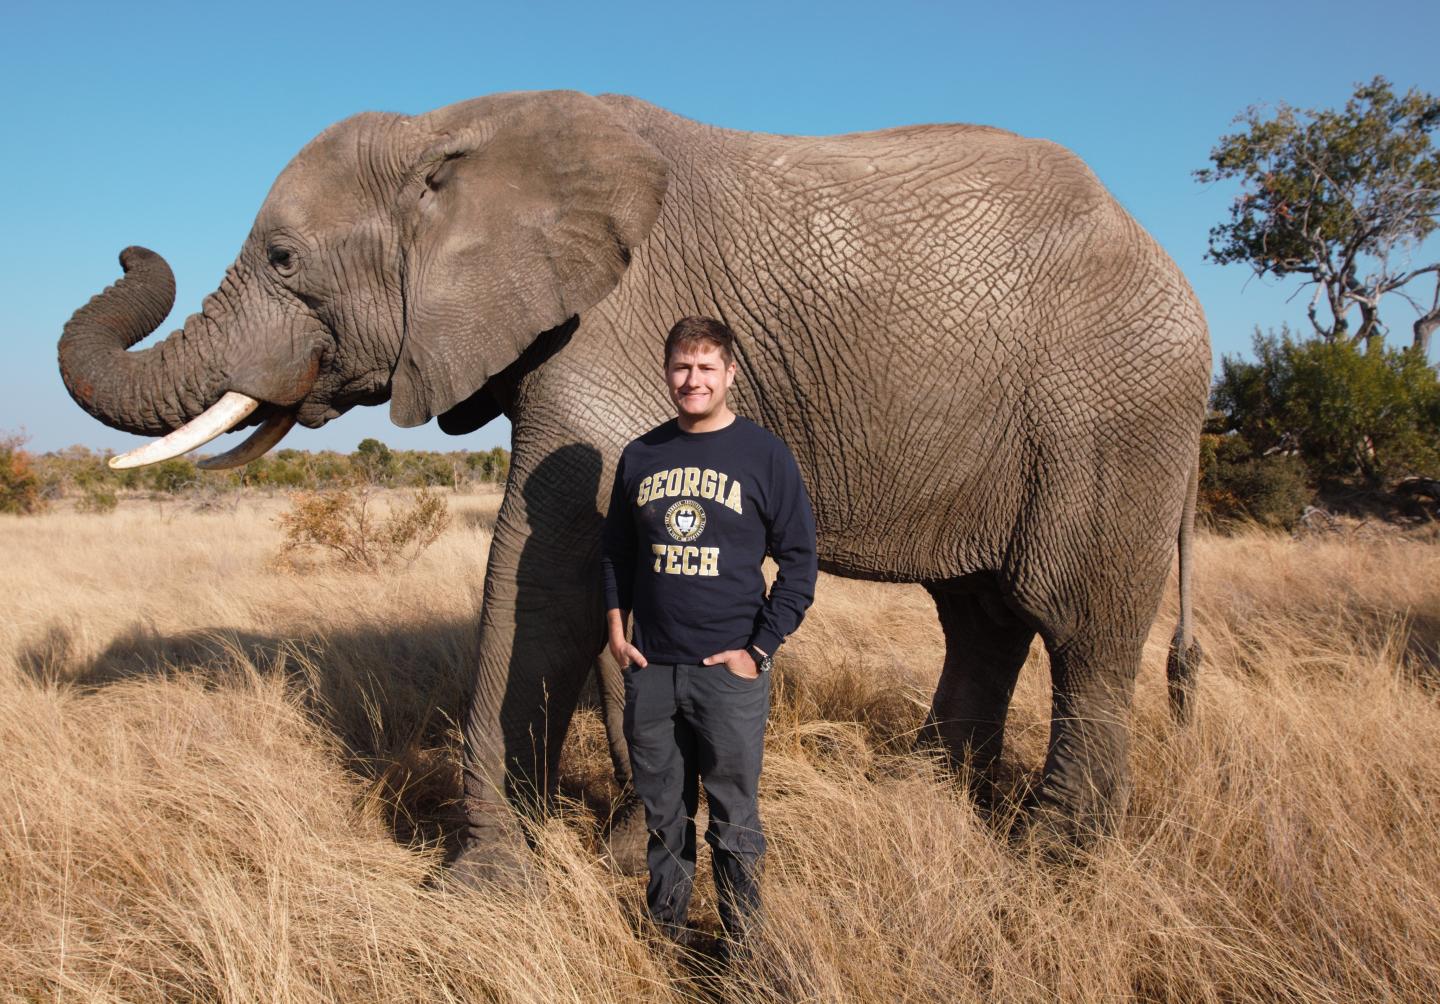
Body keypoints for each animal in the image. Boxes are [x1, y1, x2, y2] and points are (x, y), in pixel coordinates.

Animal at [53, 90, 1203, 875]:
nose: (127, 246)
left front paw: (482, 888)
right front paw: (620, 849)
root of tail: (1169, 267)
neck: (453, 128)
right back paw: (920, 795)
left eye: (285, 260)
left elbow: (543, 564)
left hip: (1115, 412)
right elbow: (607, 585)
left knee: (1078, 622)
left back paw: (1055, 855)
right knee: (980, 616)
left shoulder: (608, 330)